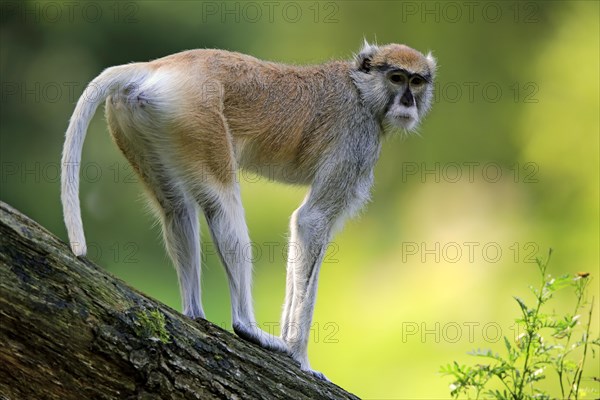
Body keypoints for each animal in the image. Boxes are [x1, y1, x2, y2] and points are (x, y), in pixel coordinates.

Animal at [61, 41, 436, 382]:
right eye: (397, 78)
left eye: (417, 82)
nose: (407, 102)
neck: (361, 91)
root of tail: (158, 66)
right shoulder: (357, 141)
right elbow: (311, 222)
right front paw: (299, 355)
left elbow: (305, 232)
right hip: (197, 118)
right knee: (221, 201)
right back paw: (247, 327)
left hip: (142, 121)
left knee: (175, 208)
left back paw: (194, 314)